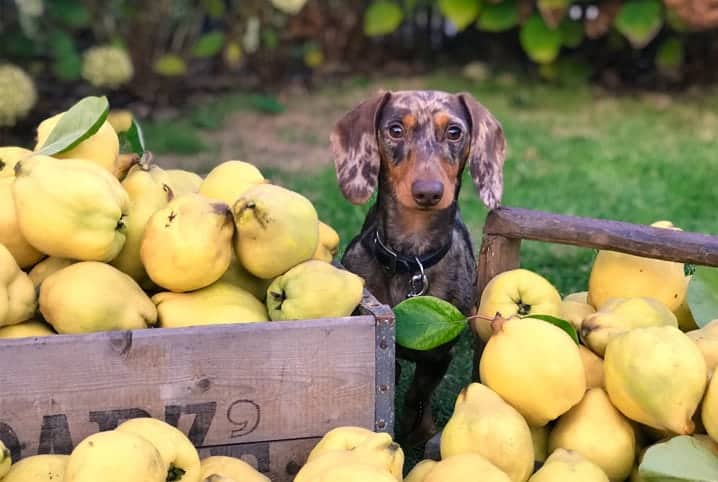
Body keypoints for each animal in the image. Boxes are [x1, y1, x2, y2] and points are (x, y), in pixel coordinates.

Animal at [330, 89, 510, 444]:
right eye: (395, 129)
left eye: (454, 131)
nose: (428, 192)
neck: (410, 260)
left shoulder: (440, 355)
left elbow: (418, 394)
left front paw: (420, 431)